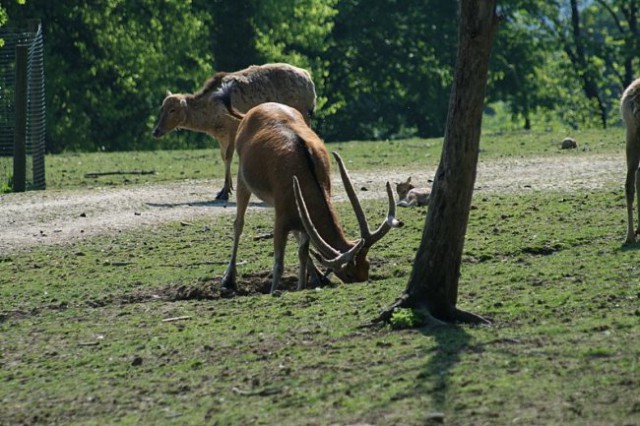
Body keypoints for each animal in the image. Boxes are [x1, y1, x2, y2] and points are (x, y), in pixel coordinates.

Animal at [152, 63, 318, 201]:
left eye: (173, 110)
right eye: (162, 108)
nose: (156, 131)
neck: (211, 122)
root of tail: (310, 80)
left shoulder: (233, 127)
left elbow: (230, 155)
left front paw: (225, 191)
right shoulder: (221, 135)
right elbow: (224, 157)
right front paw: (227, 188)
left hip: (303, 113)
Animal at [215, 87, 402, 292]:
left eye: (367, 266)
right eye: (348, 273)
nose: (362, 282)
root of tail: (250, 112)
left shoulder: (301, 215)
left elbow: (302, 253)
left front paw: (302, 286)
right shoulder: (282, 217)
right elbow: (279, 263)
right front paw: (274, 290)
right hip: (243, 177)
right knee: (238, 223)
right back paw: (228, 279)